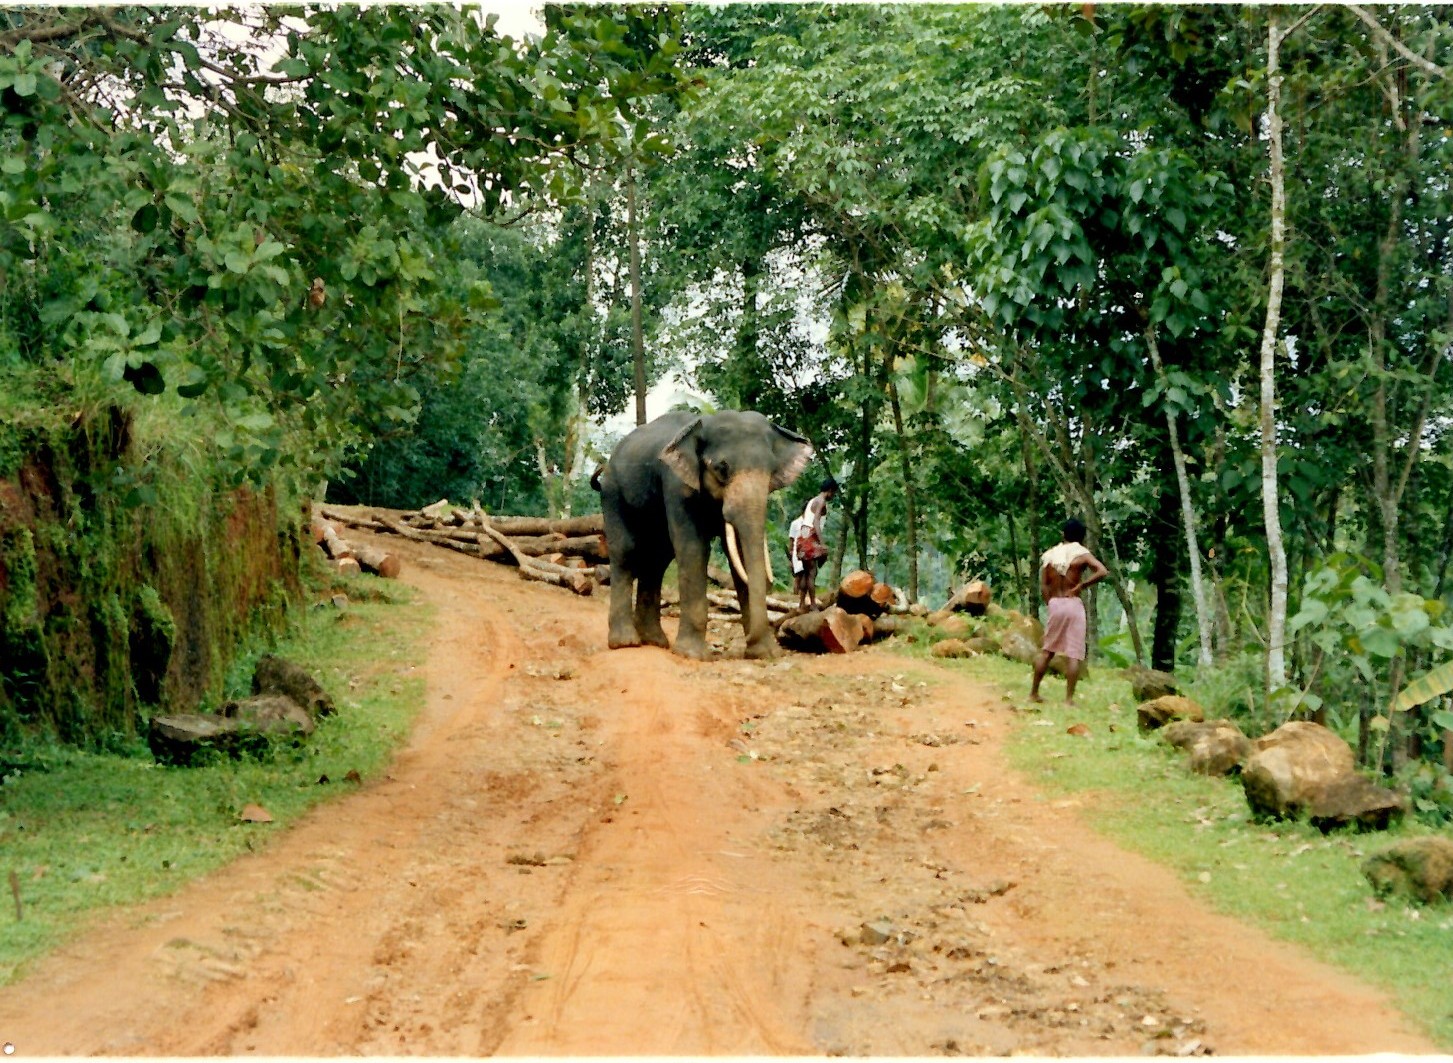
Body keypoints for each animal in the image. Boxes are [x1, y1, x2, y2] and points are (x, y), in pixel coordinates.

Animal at [589, 412, 819, 659]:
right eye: (722, 468)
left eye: (771, 470)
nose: (749, 640)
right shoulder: (677, 485)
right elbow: (693, 548)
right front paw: (692, 654)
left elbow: (736, 551)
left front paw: (764, 653)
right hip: (613, 493)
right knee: (626, 551)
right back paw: (626, 643)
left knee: (657, 559)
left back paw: (654, 641)